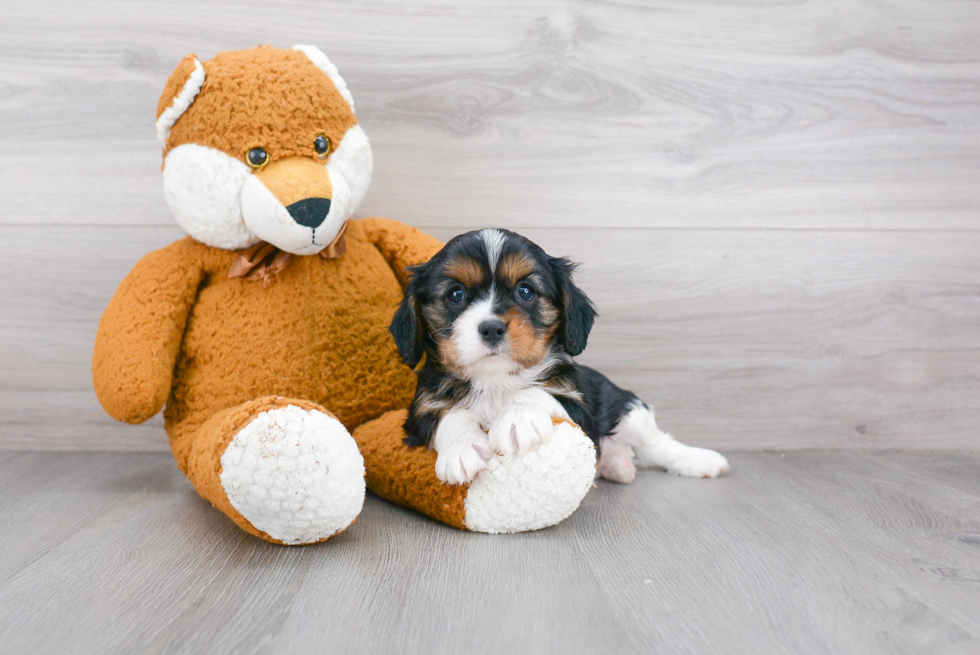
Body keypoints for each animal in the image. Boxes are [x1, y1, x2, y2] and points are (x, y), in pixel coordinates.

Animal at [388, 228, 728, 484]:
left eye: (525, 291)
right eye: (455, 295)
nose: (492, 328)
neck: (496, 379)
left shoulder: (578, 404)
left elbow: (537, 392)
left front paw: (517, 419)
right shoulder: (419, 410)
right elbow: (450, 413)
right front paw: (462, 448)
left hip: (626, 407)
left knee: (655, 444)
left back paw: (699, 460)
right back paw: (617, 463)